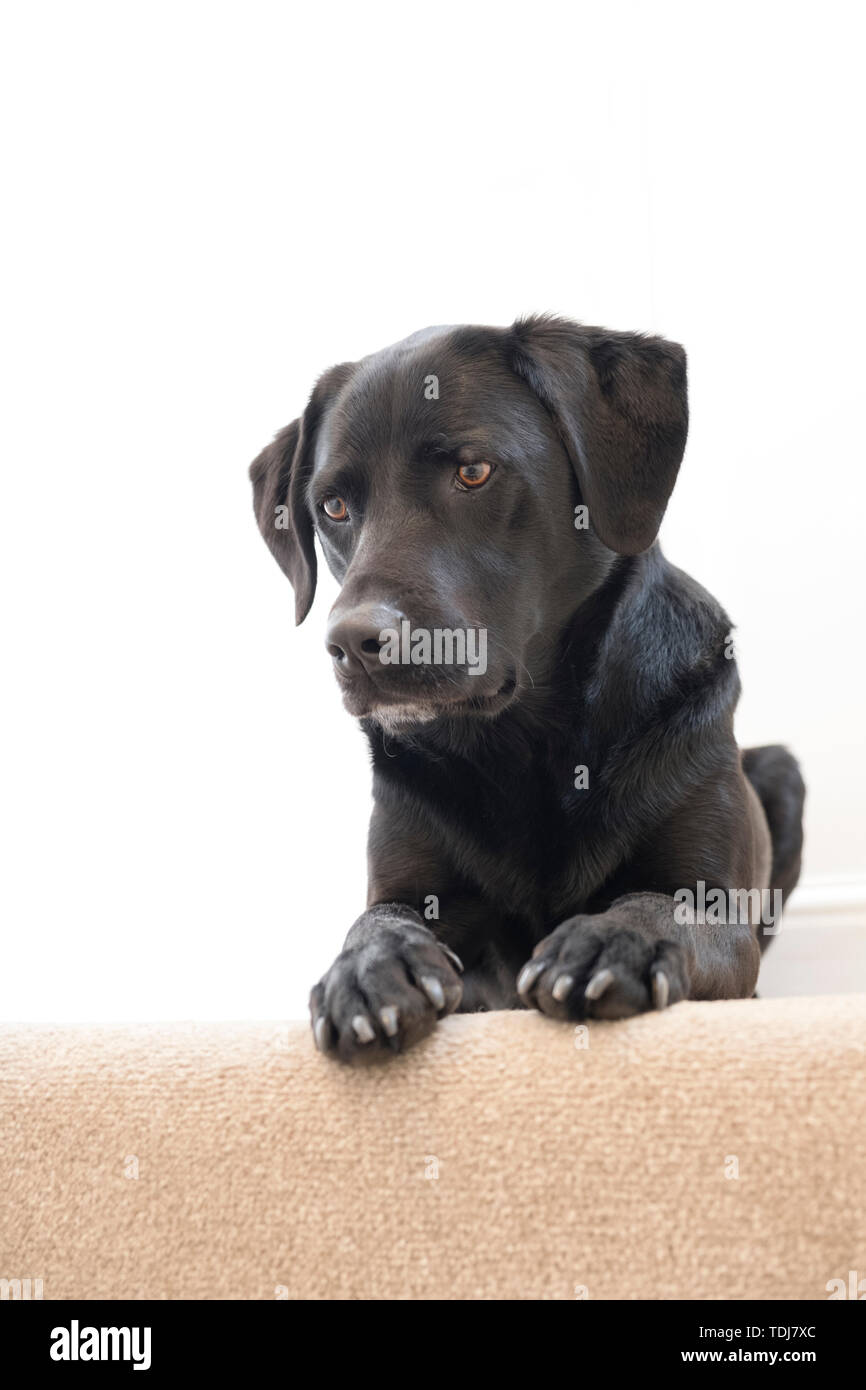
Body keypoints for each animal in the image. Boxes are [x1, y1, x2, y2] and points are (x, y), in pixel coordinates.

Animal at [250, 318, 806, 1061]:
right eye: (333, 506)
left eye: (473, 471)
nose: (353, 643)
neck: (527, 744)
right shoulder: (408, 887)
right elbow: (375, 921)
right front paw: (365, 970)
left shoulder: (715, 904)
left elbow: (661, 903)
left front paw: (610, 939)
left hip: (780, 771)